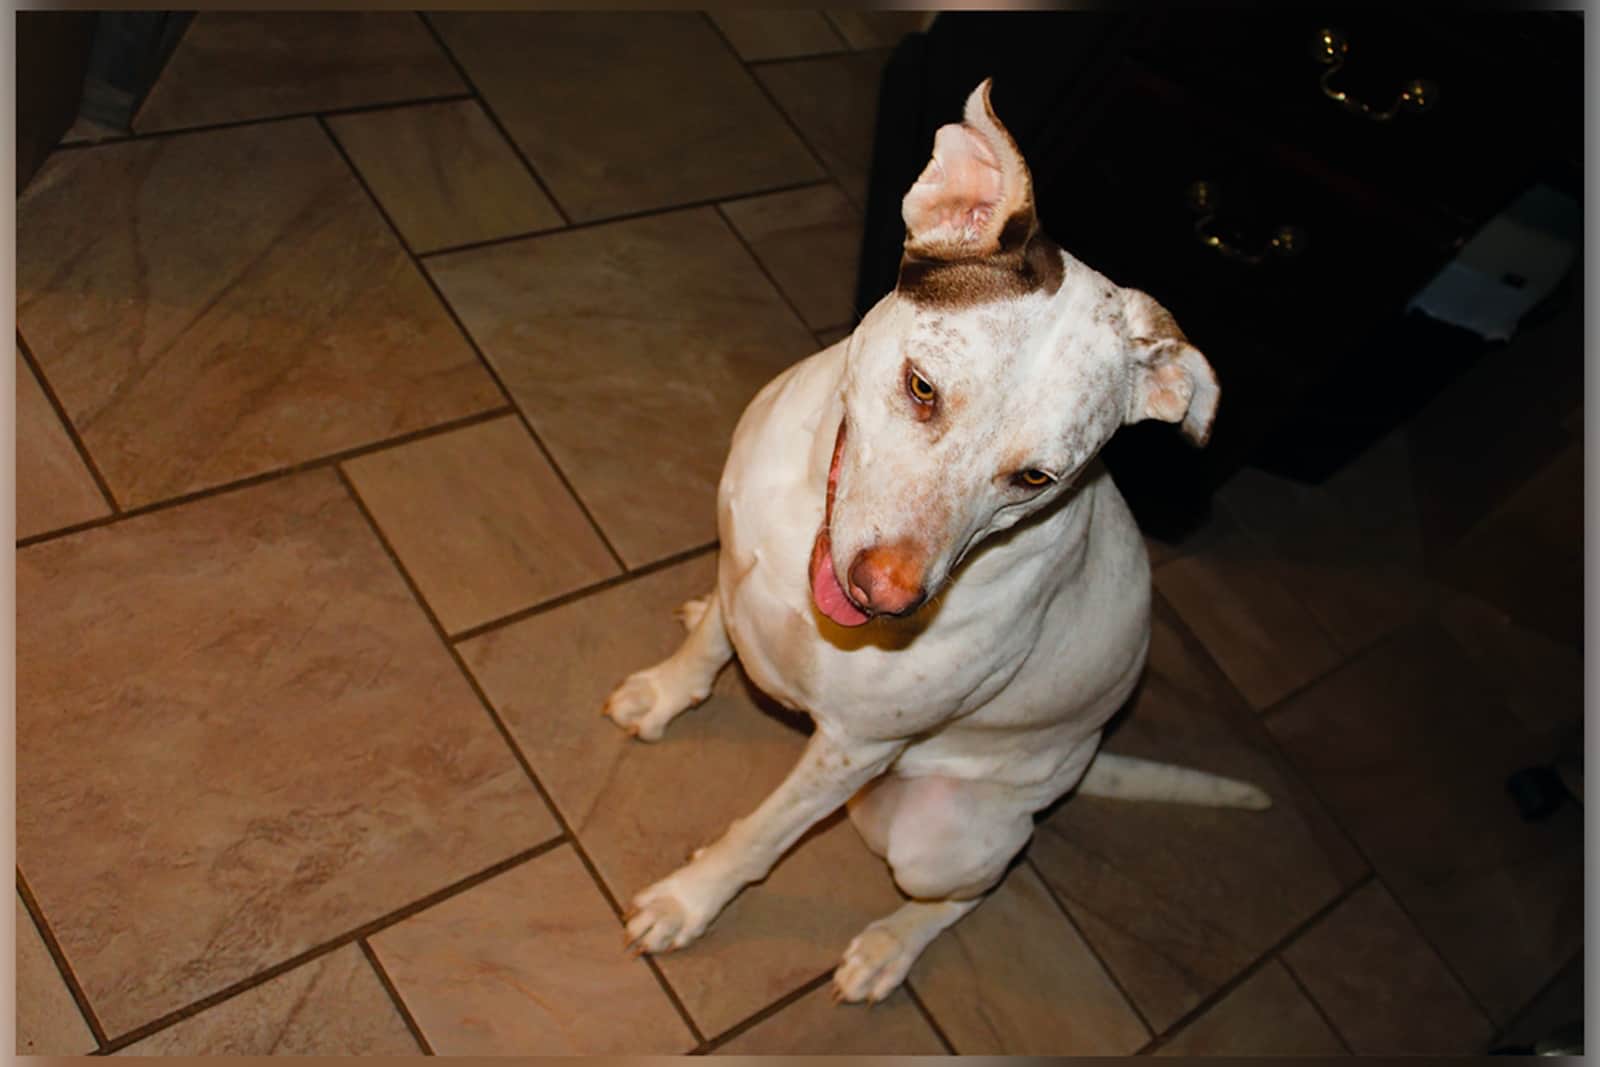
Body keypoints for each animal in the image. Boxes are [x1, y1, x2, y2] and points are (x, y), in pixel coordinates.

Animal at [601, 79, 1260, 1004]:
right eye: (921, 387)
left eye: (1038, 477)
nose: (887, 597)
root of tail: (1079, 765)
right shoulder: (740, 563)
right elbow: (705, 650)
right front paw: (664, 693)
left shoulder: (853, 750)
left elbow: (759, 836)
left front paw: (687, 901)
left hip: (938, 835)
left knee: (968, 892)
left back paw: (887, 948)